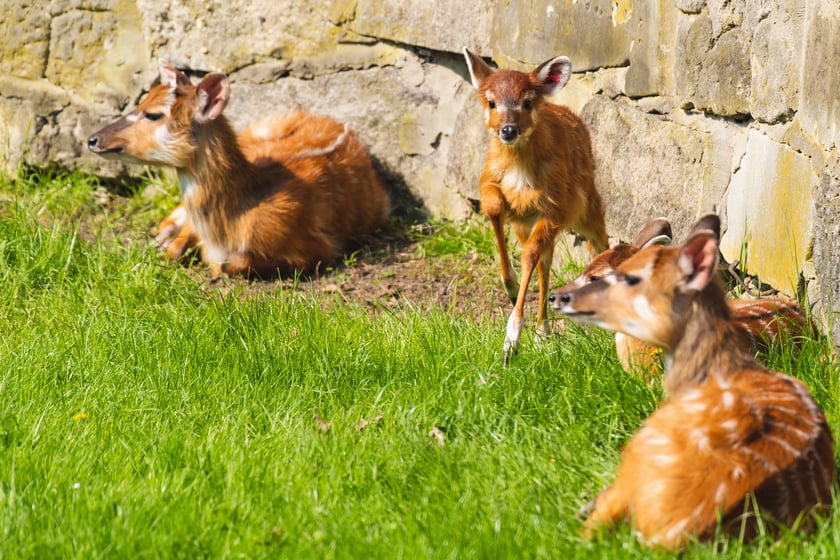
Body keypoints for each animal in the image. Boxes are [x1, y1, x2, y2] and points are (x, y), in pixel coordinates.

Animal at [462, 47, 608, 364]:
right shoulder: (491, 183)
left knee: (597, 245)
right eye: (491, 101)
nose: (508, 130)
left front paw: (510, 343)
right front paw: (509, 285)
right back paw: (543, 333)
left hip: (588, 206)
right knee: (546, 261)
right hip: (532, 224)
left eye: (527, 102)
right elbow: (494, 207)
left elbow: (529, 255)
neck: (521, 173)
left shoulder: (556, 204)